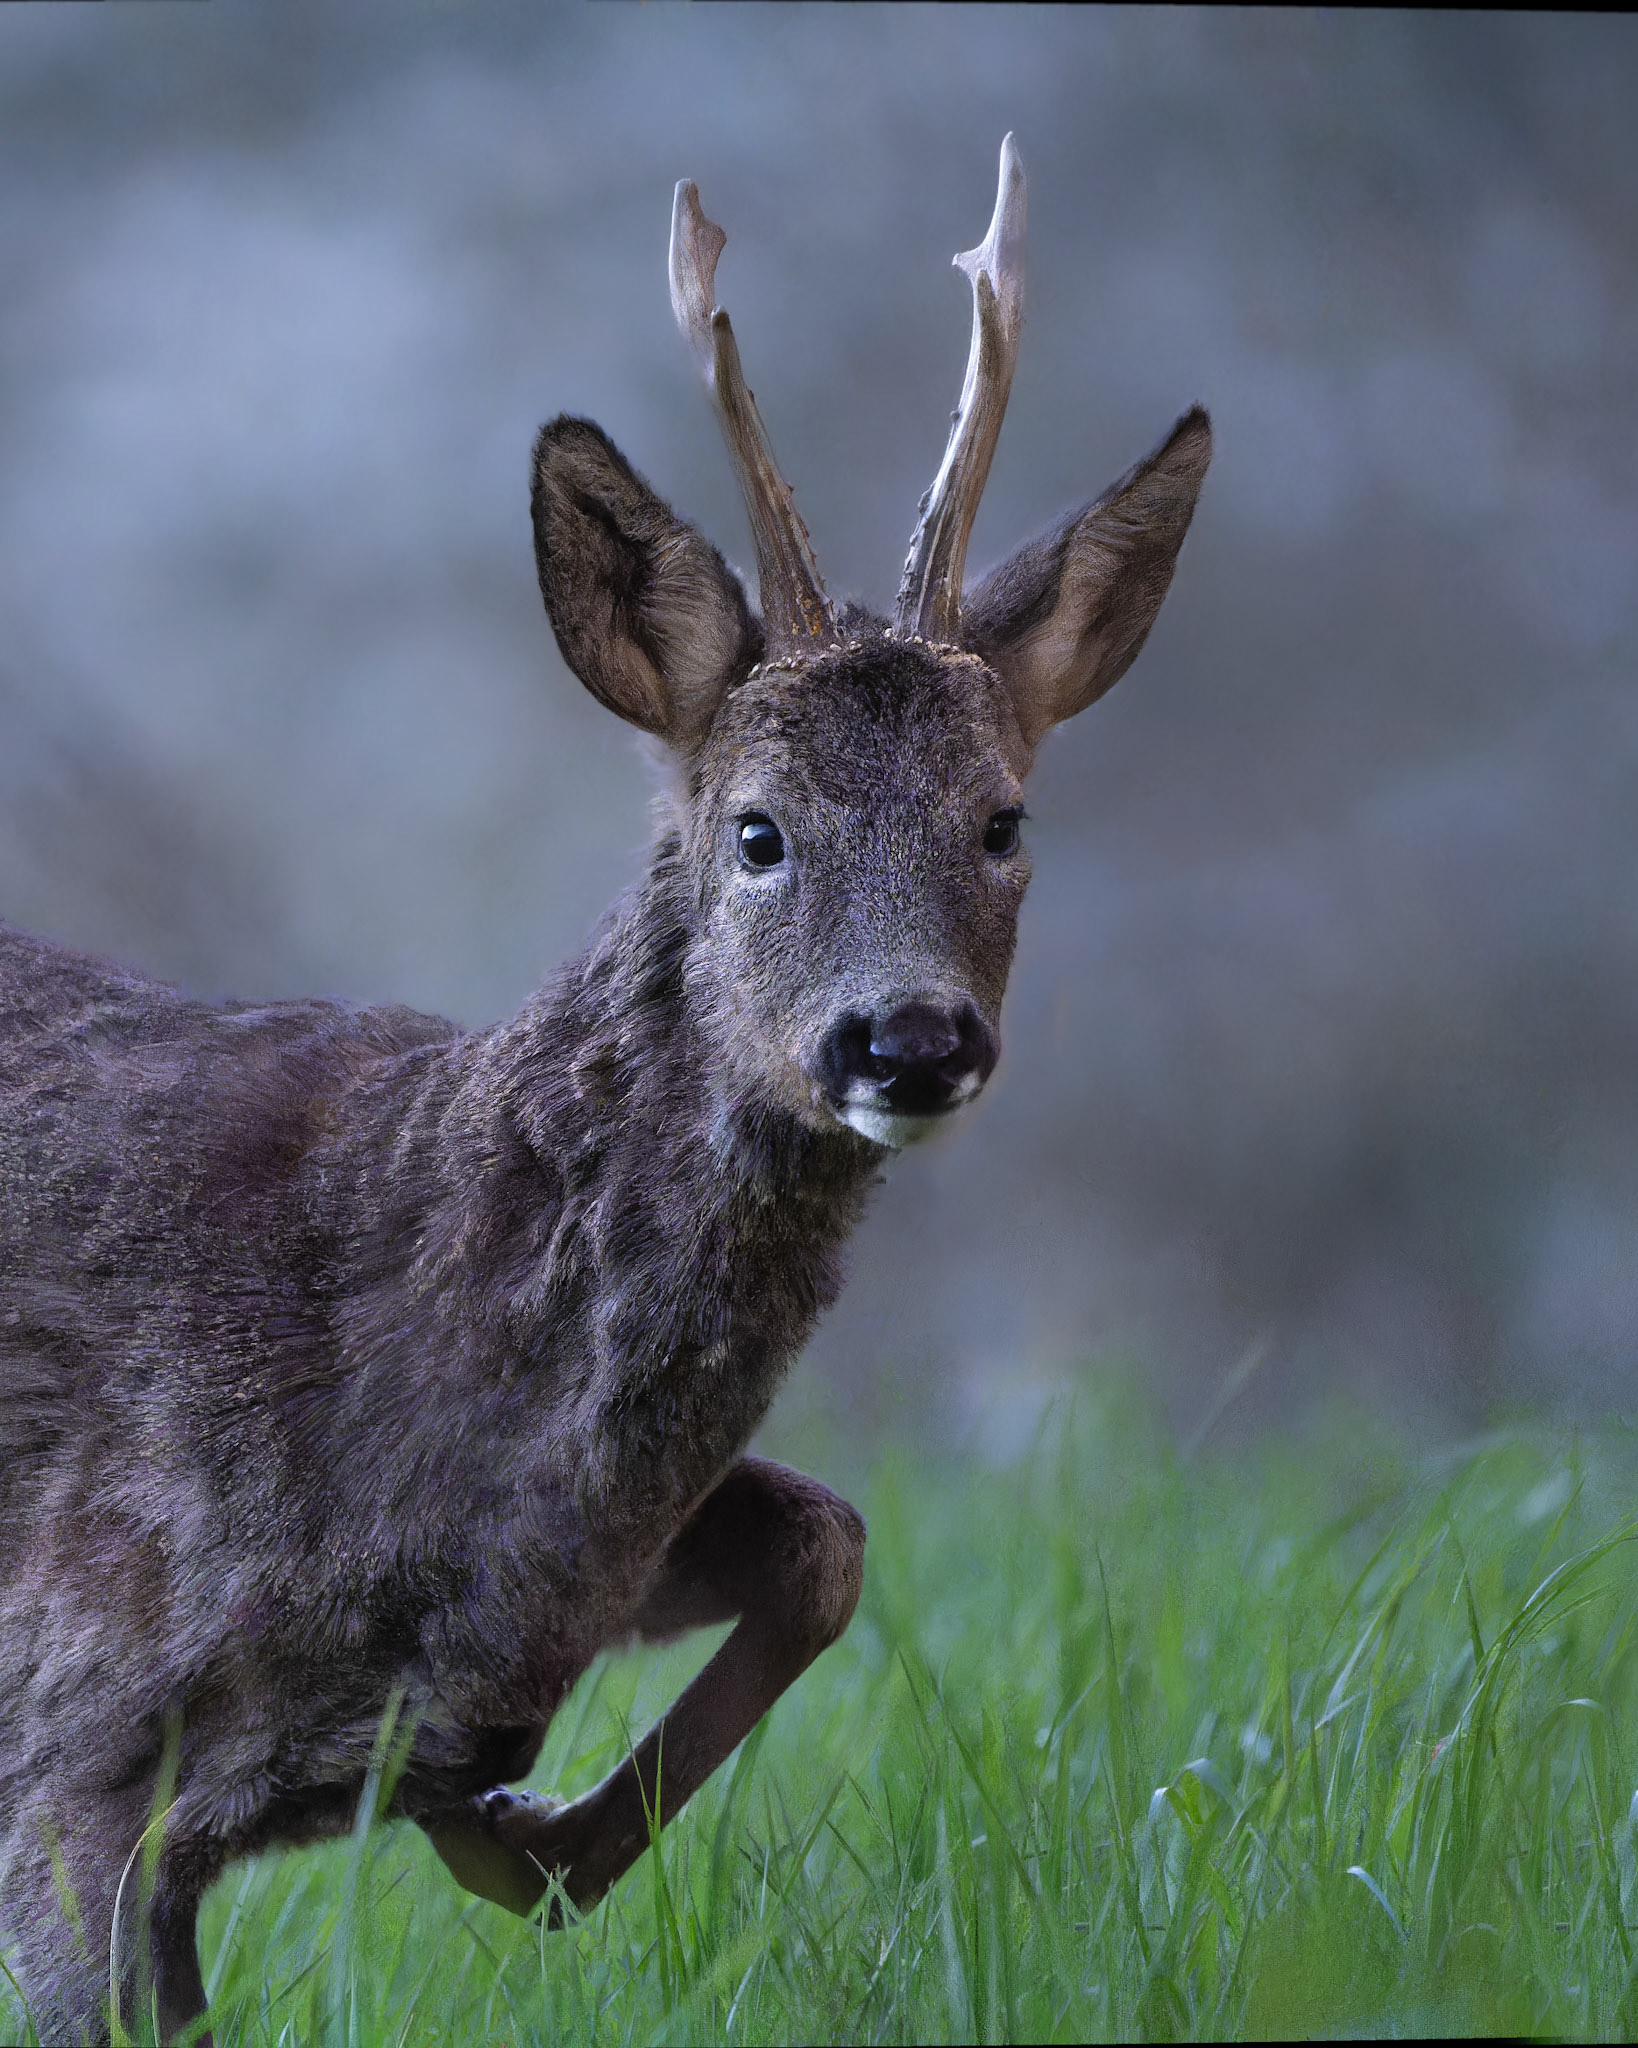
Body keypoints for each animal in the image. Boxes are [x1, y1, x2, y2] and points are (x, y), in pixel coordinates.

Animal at [0, 136, 1209, 2045]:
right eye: (757, 830)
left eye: (1003, 817)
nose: (908, 1039)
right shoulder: (72, 1729)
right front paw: (509, 1828)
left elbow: (828, 1534)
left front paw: (521, 1832)